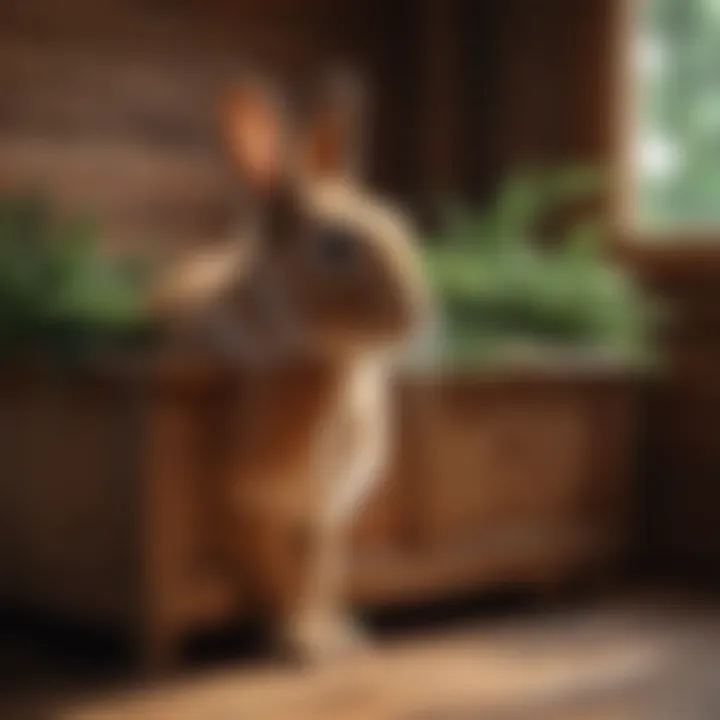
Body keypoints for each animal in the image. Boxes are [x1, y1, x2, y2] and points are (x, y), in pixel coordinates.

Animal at [152, 70, 430, 660]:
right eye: (335, 245)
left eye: (396, 223)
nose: (413, 313)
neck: (329, 363)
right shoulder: (248, 502)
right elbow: (277, 576)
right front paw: (302, 645)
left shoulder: (324, 515)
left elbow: (319, 575)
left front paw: (338, 636)